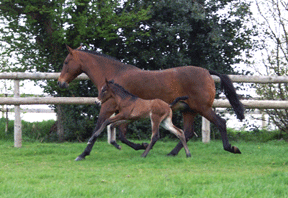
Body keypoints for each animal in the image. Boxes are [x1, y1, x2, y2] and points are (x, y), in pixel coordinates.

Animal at [59, 45, 245, 161]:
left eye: (66, 62)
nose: (61, 83)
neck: (114, 75)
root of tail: (207, 71)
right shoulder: (123, 113)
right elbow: (120, 134)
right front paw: (141, 146)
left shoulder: (108, 107)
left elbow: (99, 129)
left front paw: (83, 154)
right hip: (189, 110)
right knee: (187, 132)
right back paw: (172, 153)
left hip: (203, 108)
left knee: (220, 123)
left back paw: (231, 148)